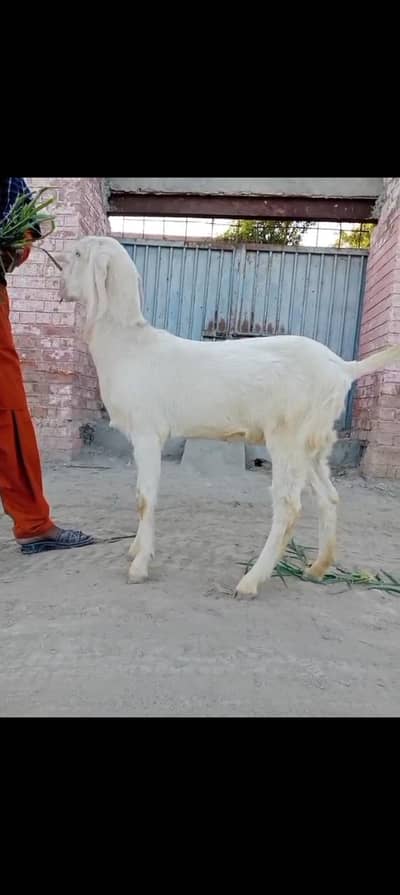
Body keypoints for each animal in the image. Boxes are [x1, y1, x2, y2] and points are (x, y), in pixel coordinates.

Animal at [56, 236, 400, 597]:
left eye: (78, 254)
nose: (60, 282)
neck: (130, 345)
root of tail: (343, 367)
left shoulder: (148, 432)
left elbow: (144, 497)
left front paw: (139, 565)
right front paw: (135, 549)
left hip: (288, 438)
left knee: (289, 507)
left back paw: (251, 581)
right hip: (314, 442)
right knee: (328, 498)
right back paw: (317, 568)